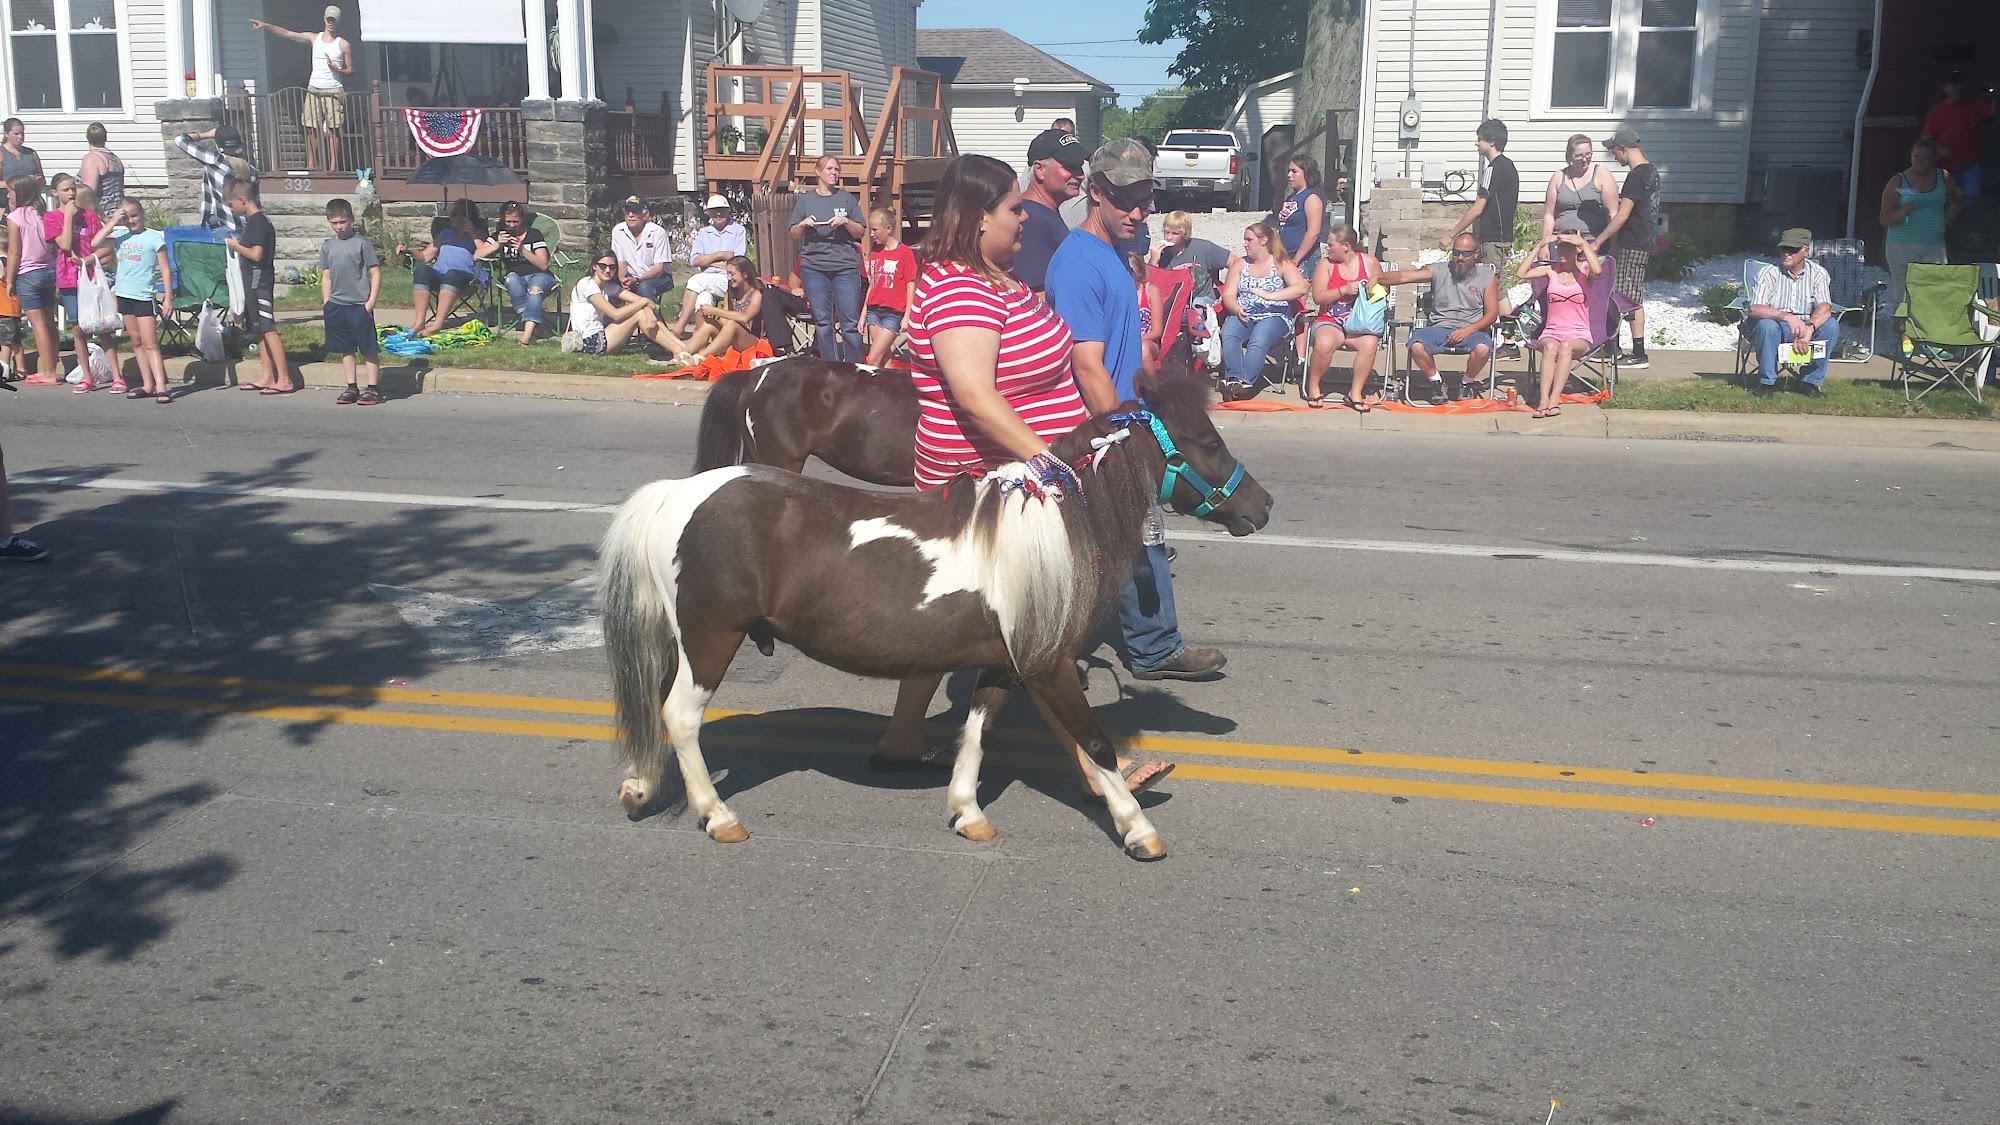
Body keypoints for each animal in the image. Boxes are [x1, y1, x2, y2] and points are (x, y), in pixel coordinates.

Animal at [600, 364, 1272, 852]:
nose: (1262, 506)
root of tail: (675, 497)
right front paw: (1137, 828)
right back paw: (717, 816)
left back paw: (639, 787)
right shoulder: (1050, 666)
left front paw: (967, 812)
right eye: (1207, 441)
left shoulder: (1004, 664)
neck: (1050, 531)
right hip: (711, 638)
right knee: (680, 715)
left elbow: (977, 735)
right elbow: (1096, 743)